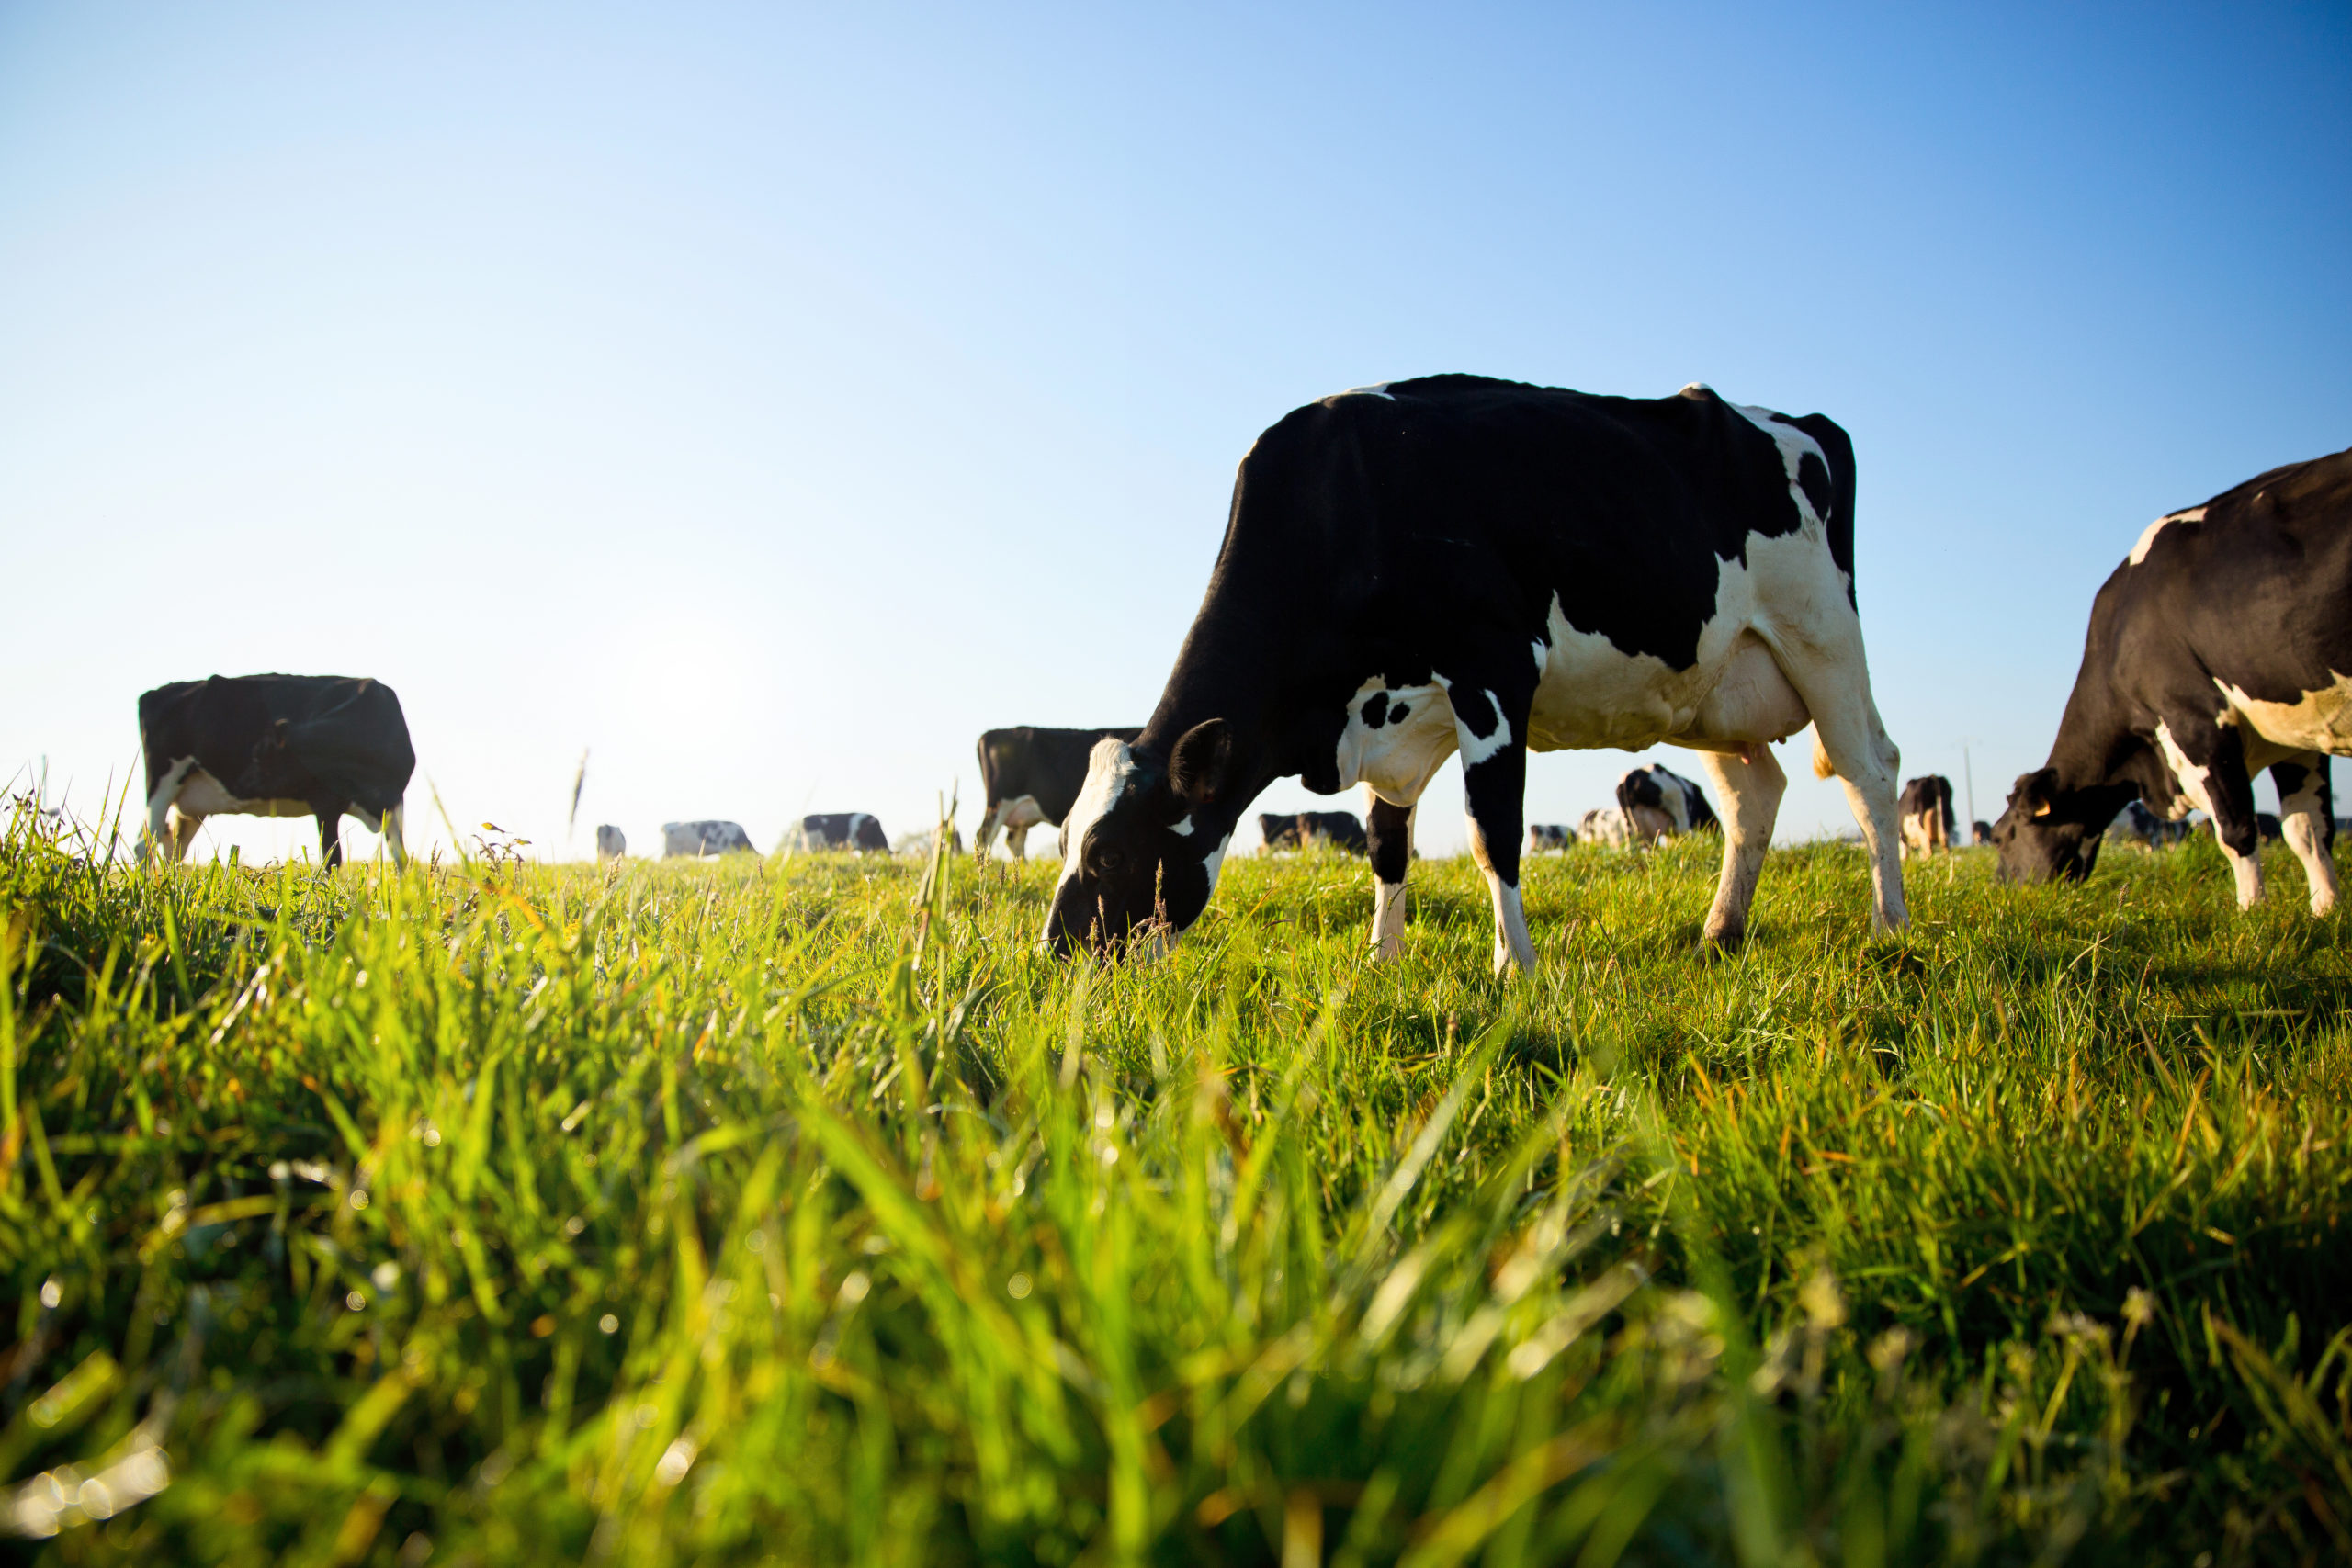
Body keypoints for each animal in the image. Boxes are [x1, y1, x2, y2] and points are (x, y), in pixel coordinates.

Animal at [139, 674, 413, 869]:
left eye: (261, 754)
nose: (239, 785)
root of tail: (157, 692)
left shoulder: (395, 802)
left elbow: (400, 858)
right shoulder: (326, 802)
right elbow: (331, 858)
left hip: (189, 806)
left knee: (173, 848)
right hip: (161, 784)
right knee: (146, 844)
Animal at [1042, 375, 1909, 971]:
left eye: (1110, 853)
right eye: (1067, 839)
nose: (1053, 952)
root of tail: (1797, 421)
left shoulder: (1492, 671)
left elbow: (1493, 832)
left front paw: (1513, 966)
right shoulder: (1386, 714)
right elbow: (1386, 843)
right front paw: (1381, 959)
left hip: (1823, 637)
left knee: (1870, 770)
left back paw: (1889, 927)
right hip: (1715, 689)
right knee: (1751, 797)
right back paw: (1720, 932)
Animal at [1992, 447, 2350, 914]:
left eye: (2001, 837)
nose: (1999, 891)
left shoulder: (2196, 719)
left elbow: (2236, 829)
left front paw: (2252, 914)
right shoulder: (2297, 736)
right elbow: (2308, 830)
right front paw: (2326, 912)